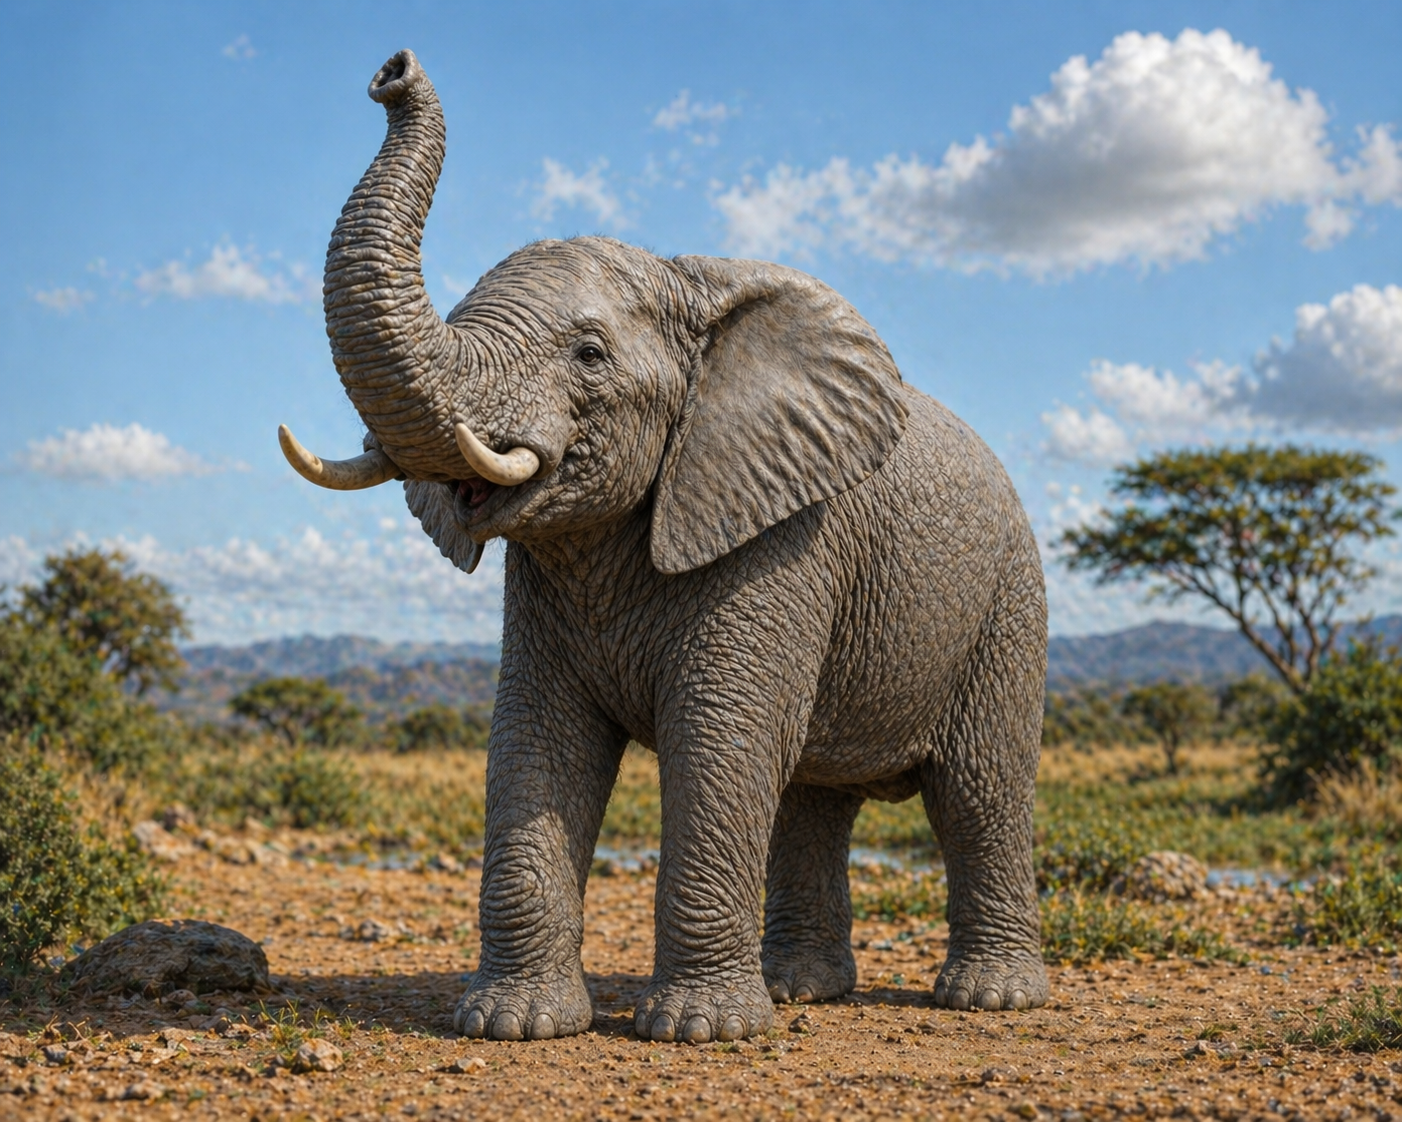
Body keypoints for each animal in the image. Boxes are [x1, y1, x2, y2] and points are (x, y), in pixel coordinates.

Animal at [279, 49, 1049, 1044]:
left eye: (590, 355)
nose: (391, 72)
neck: (695, 287)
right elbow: (537, 739)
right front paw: (513, 1025)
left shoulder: (782, 540)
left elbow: (721, 740)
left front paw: (699, 1033)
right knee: (813, 795)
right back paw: (801, 990)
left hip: (1007, 602)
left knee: (978, 789)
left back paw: (988, 998)